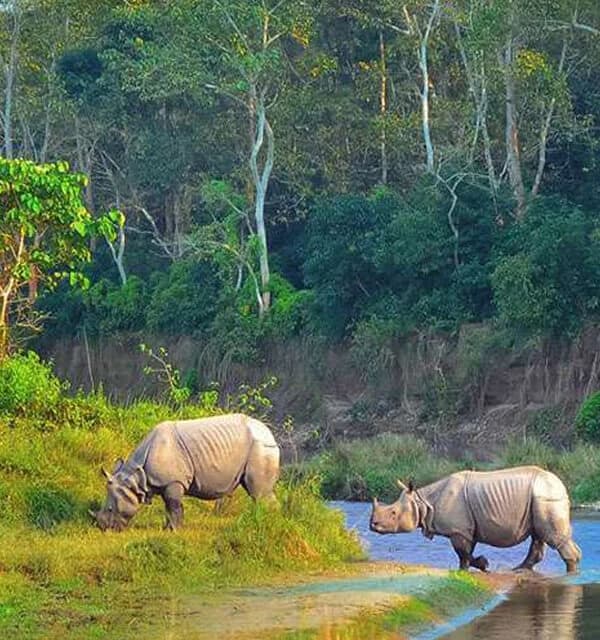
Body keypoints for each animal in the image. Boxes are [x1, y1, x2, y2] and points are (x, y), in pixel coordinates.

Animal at [91, 413, 280, 531]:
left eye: (110, 509)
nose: (103, 528)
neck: (134, 477)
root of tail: (270, 434)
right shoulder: (166, 482)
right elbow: (170, 507)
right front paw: (168, 529)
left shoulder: (173, 481)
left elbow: (173, 505)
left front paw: (173, 531)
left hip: (261, 446)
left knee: (259, 493)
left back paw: (265, 526)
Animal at [370, 466, 581, 573]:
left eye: (393, 513)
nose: (372, 525)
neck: (423, 501)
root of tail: (561, 484)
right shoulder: (465, 529)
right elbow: (465, 554)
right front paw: (464, 571)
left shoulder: (458, 530)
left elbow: (463, 552)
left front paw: (483, 565)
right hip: (540, 498)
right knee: (539, 535)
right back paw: (518, 570)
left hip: (545, 497)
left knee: (552, 537)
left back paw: (570, 574)